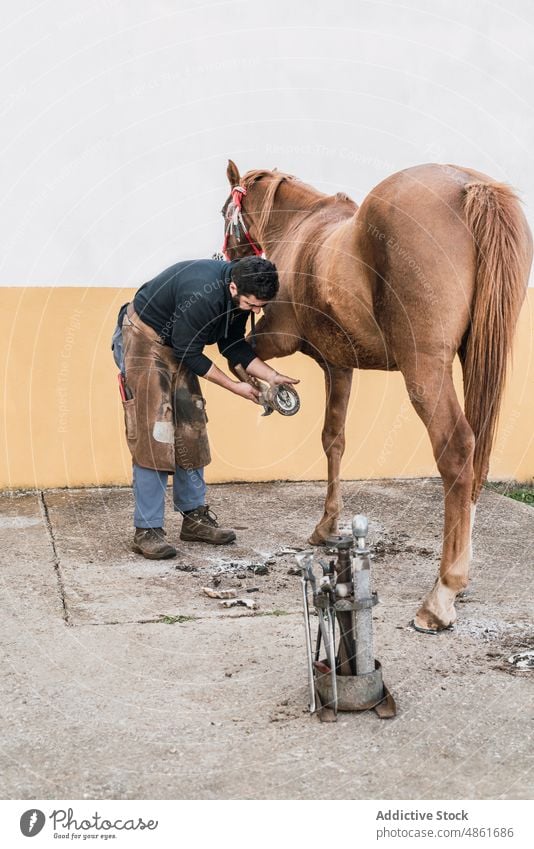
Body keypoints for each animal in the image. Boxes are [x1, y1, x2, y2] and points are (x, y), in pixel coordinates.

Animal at [221, 159, 532, 628]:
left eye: (226, 212)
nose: (234, 265)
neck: (301, 227)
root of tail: (471, 188)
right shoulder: (338, 366)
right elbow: (333, 439)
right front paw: (327, 526)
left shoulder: (277, 338)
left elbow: (241, 358)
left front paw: (270, 392)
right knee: (477, 455)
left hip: (425, 370)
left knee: (458, 449)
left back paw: (441, 594)